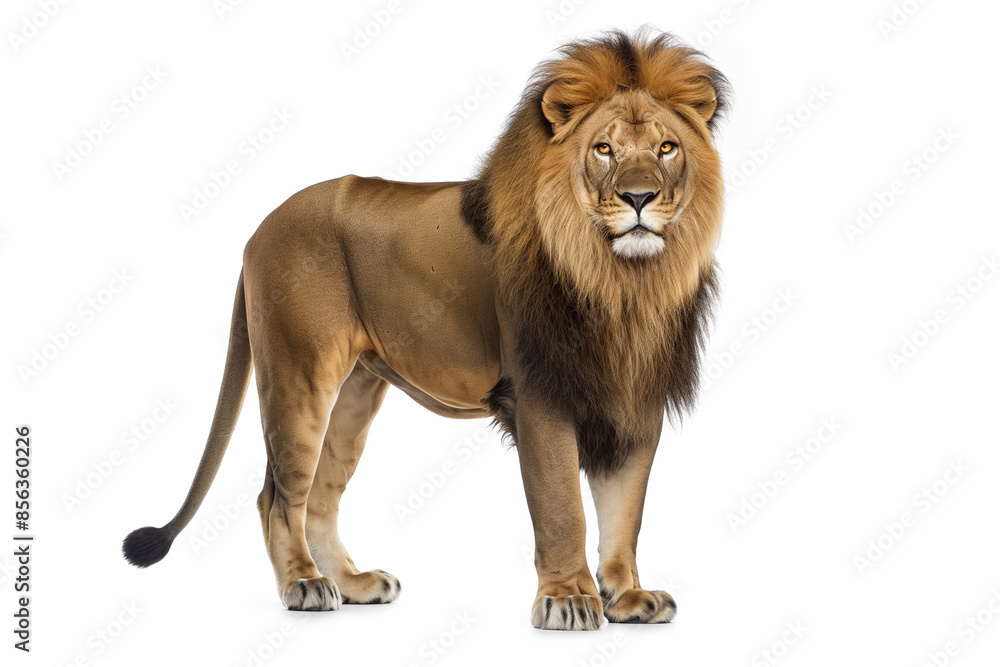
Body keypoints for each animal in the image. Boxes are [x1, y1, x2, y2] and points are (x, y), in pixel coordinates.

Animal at [123, 29, 729, 631]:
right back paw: (304, 585)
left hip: (356, 391)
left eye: (667, 148)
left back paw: (354, 583)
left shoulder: (634, 396)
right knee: (277, 496)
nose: (638, 198)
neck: (623, 282)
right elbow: (563, 510)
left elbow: (624, 512)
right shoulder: (540, 395)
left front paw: (627, 597)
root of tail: (260, 226)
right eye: (604, 149)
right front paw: (569, 600)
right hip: (299, 374)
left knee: (320, 497)